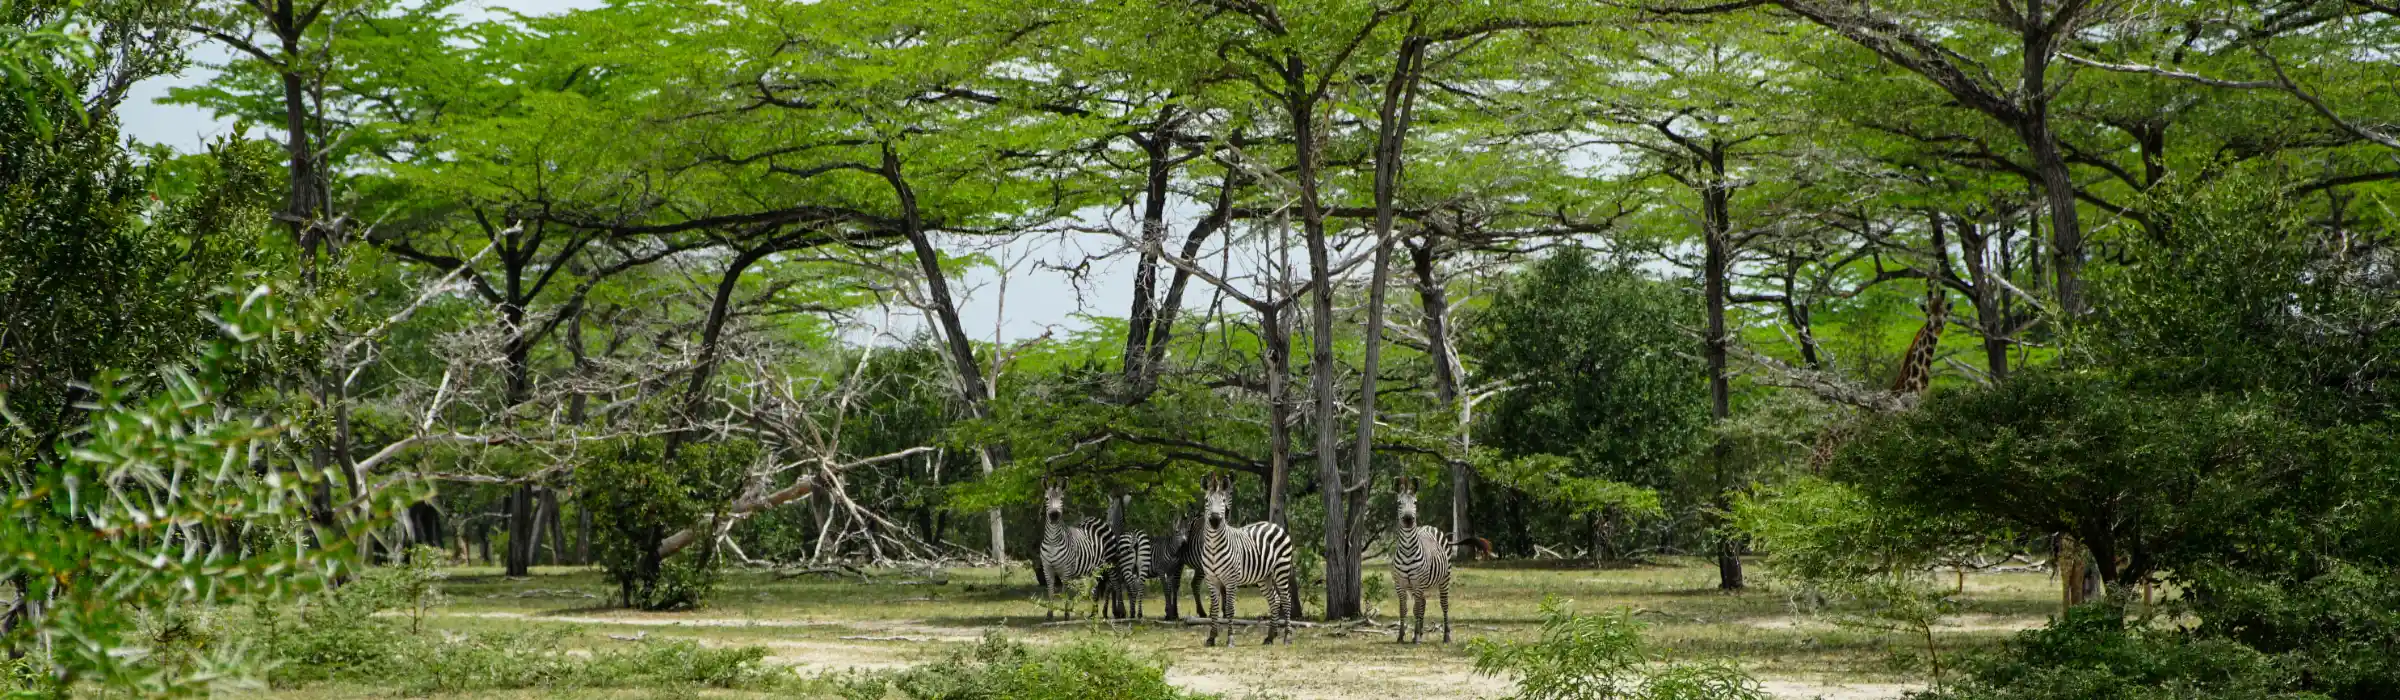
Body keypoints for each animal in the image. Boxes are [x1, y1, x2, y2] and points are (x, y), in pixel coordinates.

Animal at [1039, 479, 1116, 621]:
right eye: (1046, 498)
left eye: (1062, 498)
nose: (1054, 516)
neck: (1053, 541)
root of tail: (1096, 519)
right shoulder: (1047, 568)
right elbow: (1050, 591)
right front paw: (1049, 614)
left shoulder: (1066, 570)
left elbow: (1064, 592)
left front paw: (1066, 615)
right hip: (1092, 570)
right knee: (1095, 588)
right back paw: (1093, 614)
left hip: (1108, 565)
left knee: (1109, 586)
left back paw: (1105, 613)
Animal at [1199, 472, 1296, 647]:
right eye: (1206, 501)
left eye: (1223, 501)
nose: (1215, 520)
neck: (1214, 547)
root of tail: (1274, 525)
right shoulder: (1211, 580)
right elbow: (1214, 609)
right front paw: (1211, 637)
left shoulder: (1231, 580)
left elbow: (1230, 609)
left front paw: (1230, 639)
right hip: (1264, 577)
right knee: (1275, 600)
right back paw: (1270, 637)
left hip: (1281, 570)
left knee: (1286, 600)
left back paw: (1287, 637)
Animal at [1390, 475, 1452, 644]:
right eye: (1399, 503)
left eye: (1415, 502)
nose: (1408, 519)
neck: (1407, 550)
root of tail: (1429, 526)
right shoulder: (1400, 584)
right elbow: (1404, 609)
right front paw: (1401, 635)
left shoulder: (1418, 583)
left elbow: (1416, 609)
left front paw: (1416, 636)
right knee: (1423, 603)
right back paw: (1421, 632)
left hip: (1444, 579)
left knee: (1444, 604)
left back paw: (1446, 636)